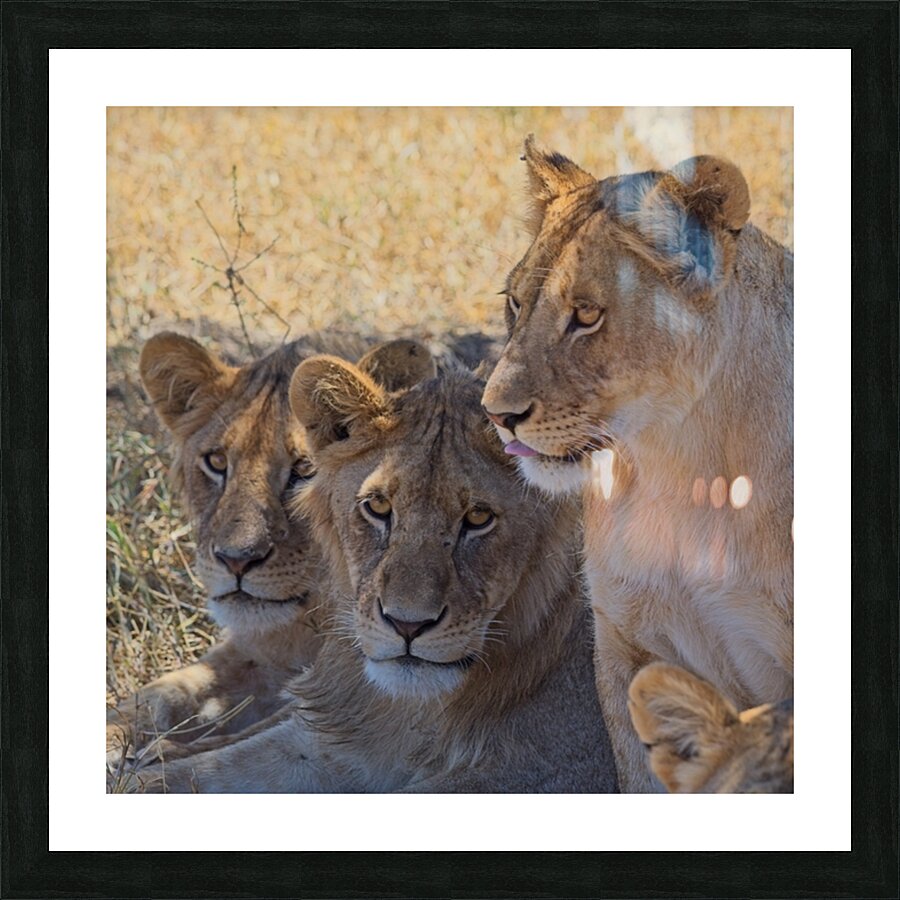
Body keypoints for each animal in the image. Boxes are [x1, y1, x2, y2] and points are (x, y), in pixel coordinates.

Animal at [108, 331, 438, 764]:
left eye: (305, 470)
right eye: (216, 461)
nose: (236, 560)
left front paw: (157, 756)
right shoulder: (257, 652)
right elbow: (156, 695)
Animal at [129, 362, 617, 792]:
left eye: (478, 517)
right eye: (378, 507)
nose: (407, 625)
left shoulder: (556, 769)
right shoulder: (334, 740)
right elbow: (178, 778)